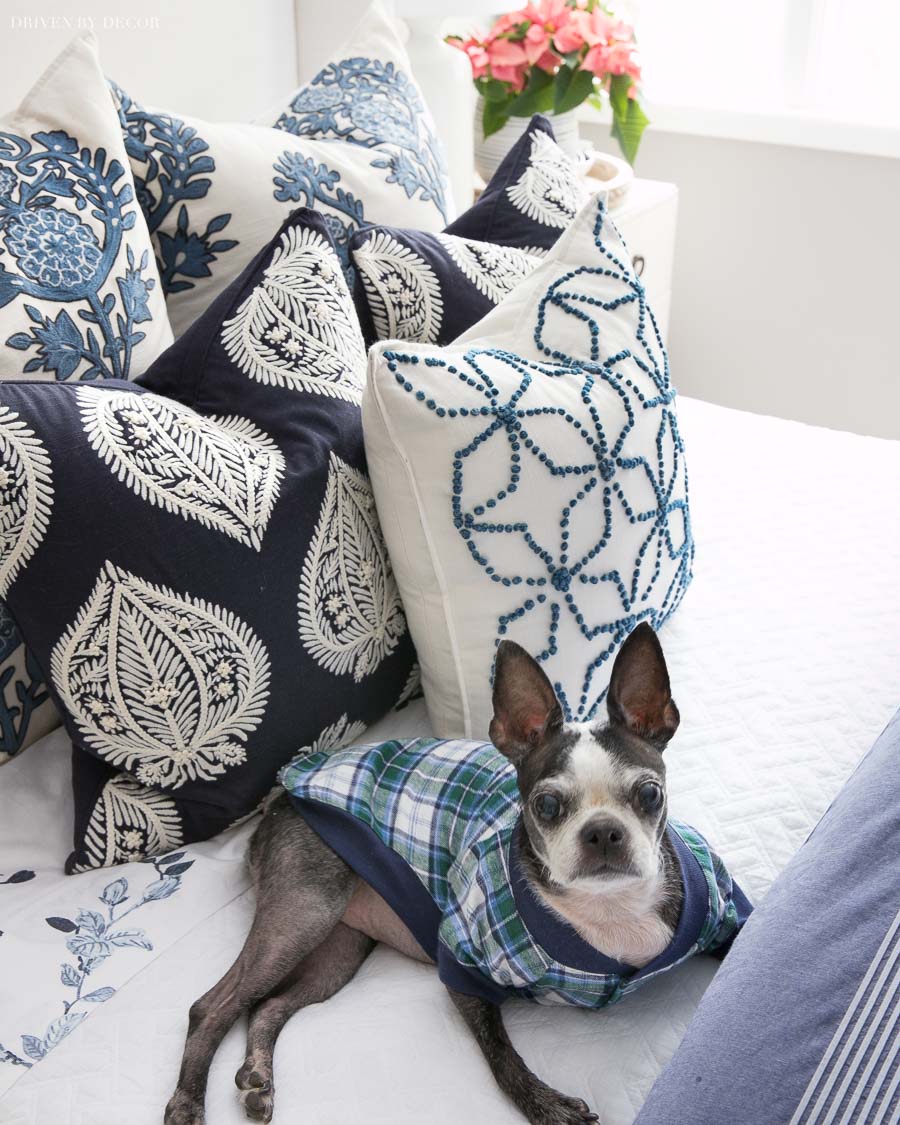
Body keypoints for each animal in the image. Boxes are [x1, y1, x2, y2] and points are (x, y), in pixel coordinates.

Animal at [163, 625, 688, 1125]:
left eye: (650, 794)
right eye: (546, 805)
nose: (602, 832)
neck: (608, 908)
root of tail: (276, 802)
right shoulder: (461, 969)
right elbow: (502, 1057)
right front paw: (548, 1106)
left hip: (339, 950)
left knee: (266, 1005)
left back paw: (258, 1076)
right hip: (305, 909)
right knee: (213, 1006)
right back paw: (187, 1104)